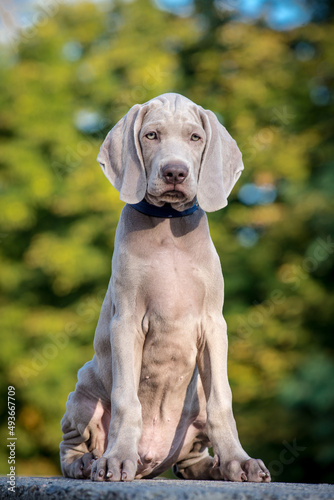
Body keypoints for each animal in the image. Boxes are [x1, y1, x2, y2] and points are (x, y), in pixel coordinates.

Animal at [59, 92, 272, 482]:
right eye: (151, 135)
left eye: (195, 137)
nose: (175, 172)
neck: (168, 225)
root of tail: (151, 462)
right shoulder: (126, 322)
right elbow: (126, 399)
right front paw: (116, 459)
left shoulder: (214, 324)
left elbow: (223, 400)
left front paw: (239, 460)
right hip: (82, 393)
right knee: (72, 443)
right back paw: (88, 462)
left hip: (194, 398)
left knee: (188, 462)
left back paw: (215, 466)